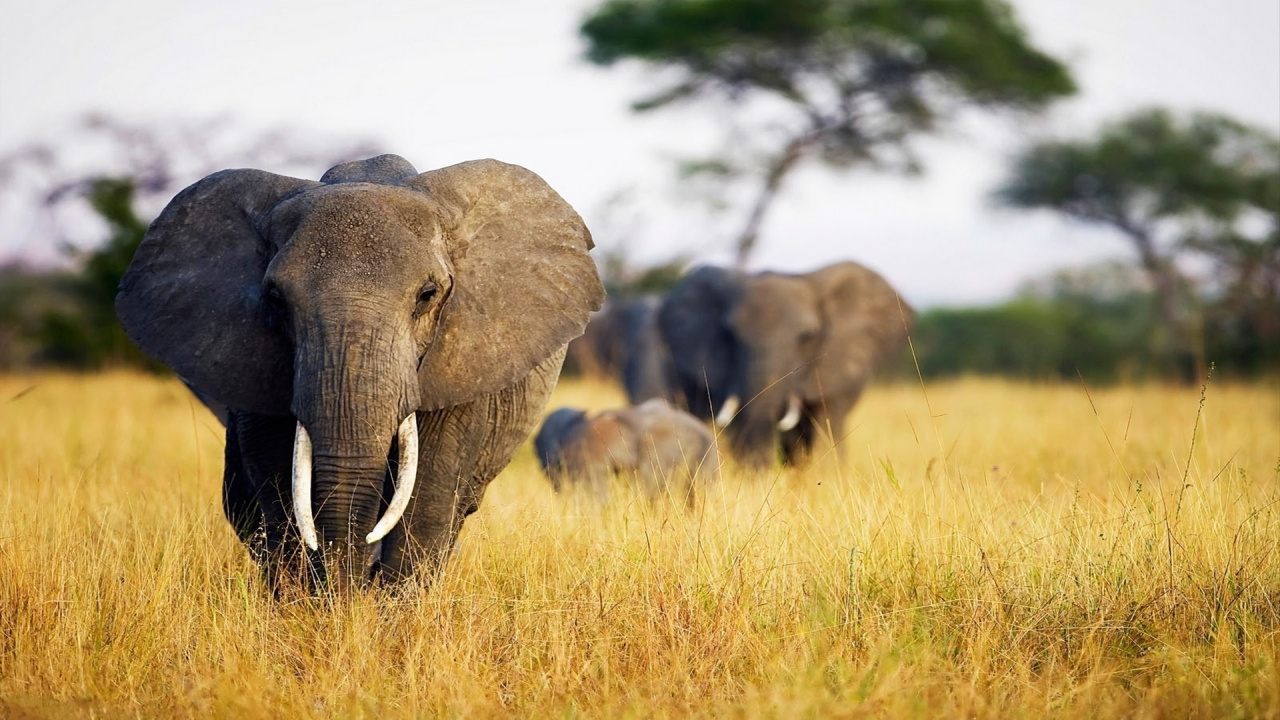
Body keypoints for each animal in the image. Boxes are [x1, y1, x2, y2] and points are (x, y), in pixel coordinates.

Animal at [116, 154, 604, 588]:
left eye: (427, 295)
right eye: (275, 299)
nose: (350, 589)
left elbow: (427, 498)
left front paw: (387, 621)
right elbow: (278, 487)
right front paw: (311, 613)